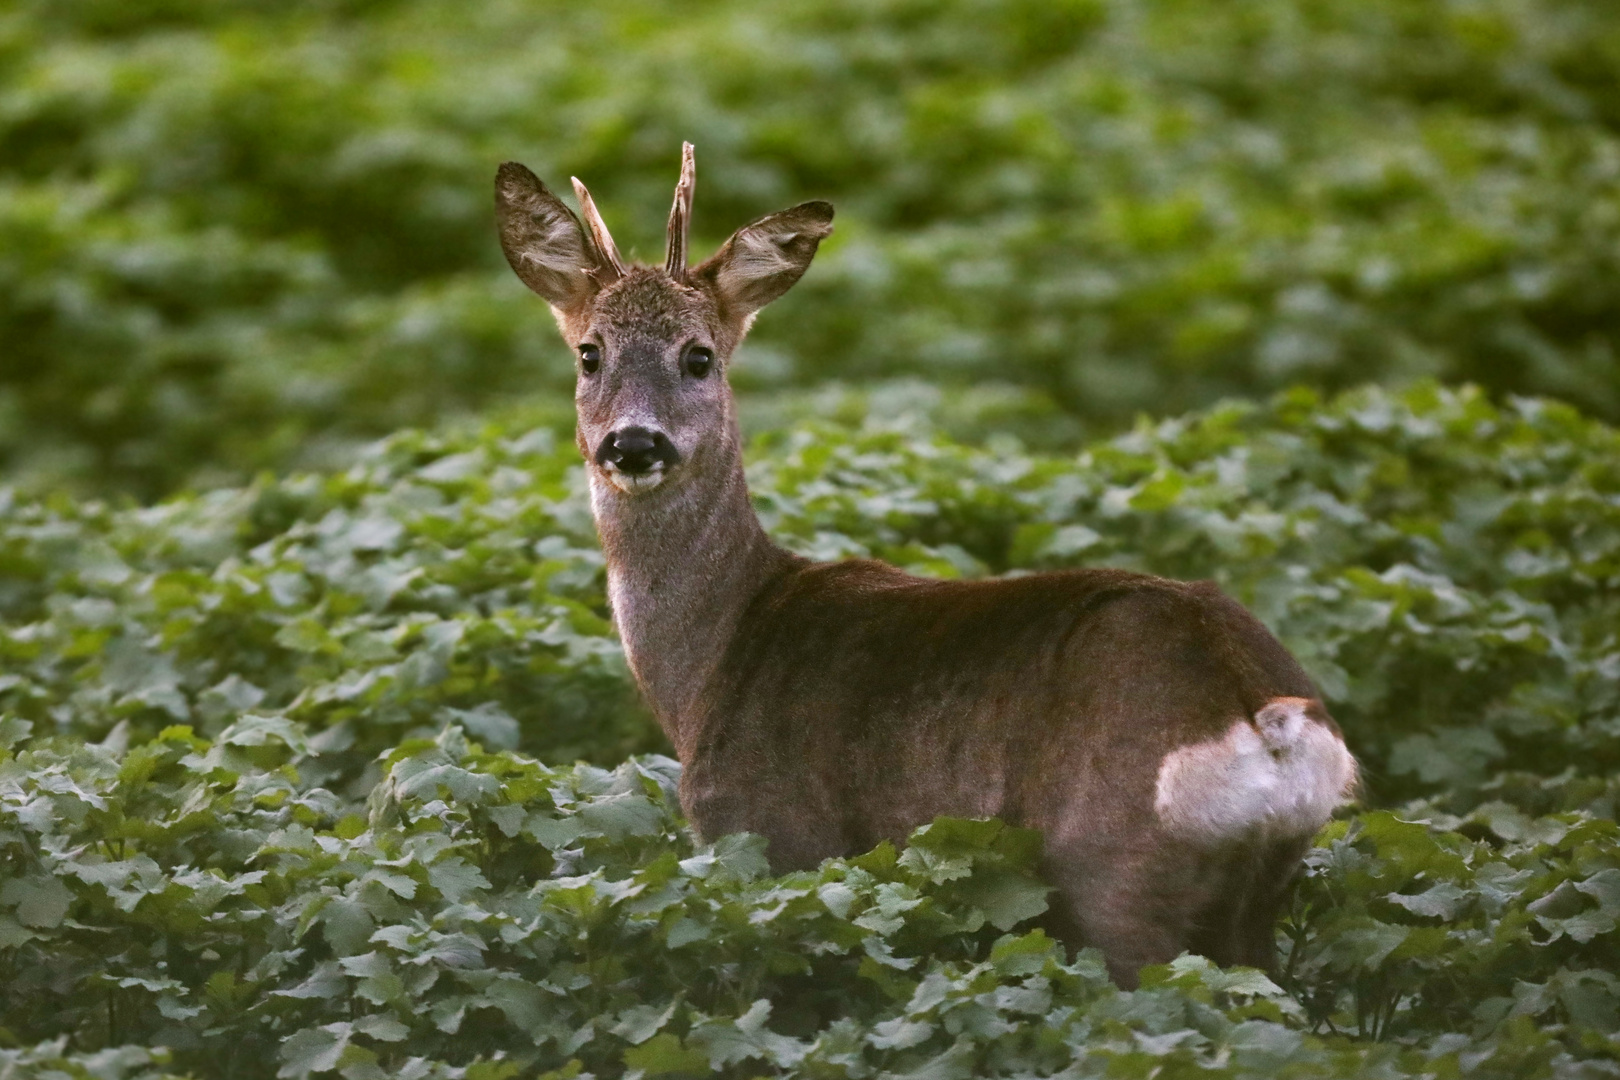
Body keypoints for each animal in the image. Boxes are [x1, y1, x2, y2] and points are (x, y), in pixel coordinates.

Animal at [489, 143, 1354, 990]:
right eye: (589, 354)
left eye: (698, 356)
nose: (634, 444)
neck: (714, 658)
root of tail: (1261, 717)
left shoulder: (770, 830)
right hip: (1258, 896)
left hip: (1114, 865)